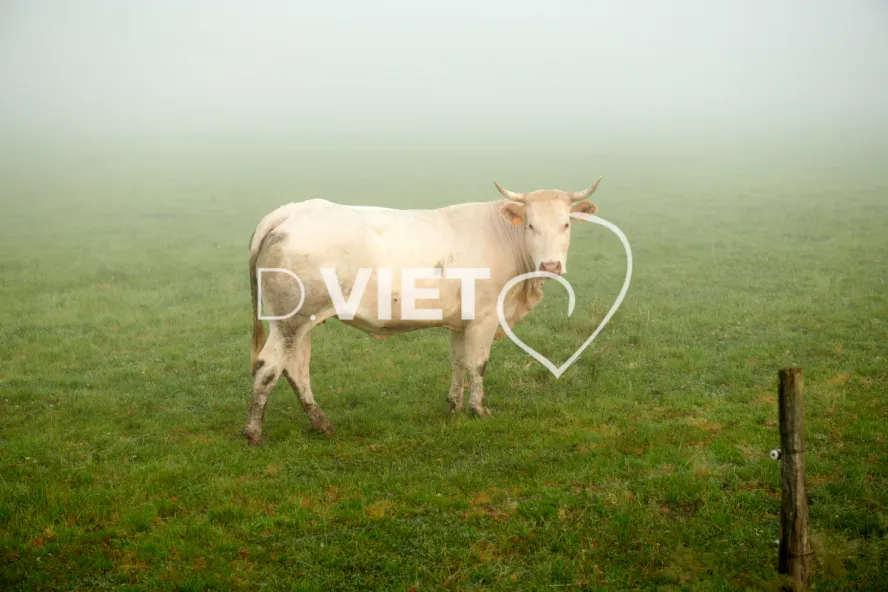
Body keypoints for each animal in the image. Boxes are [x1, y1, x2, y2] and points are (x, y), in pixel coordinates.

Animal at [242, 178, 602, 444]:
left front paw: (455, 407)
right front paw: (479, 410)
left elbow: (458, 362)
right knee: (269, 366)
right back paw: (253, 432)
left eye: (566, 224)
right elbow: (478, 364)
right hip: (290, 321)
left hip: (300, 323)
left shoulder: (460, 322)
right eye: (530, 225)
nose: (551, 265)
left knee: (296, 368)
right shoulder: (484, 317)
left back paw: (321, 424)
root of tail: (291, 212)